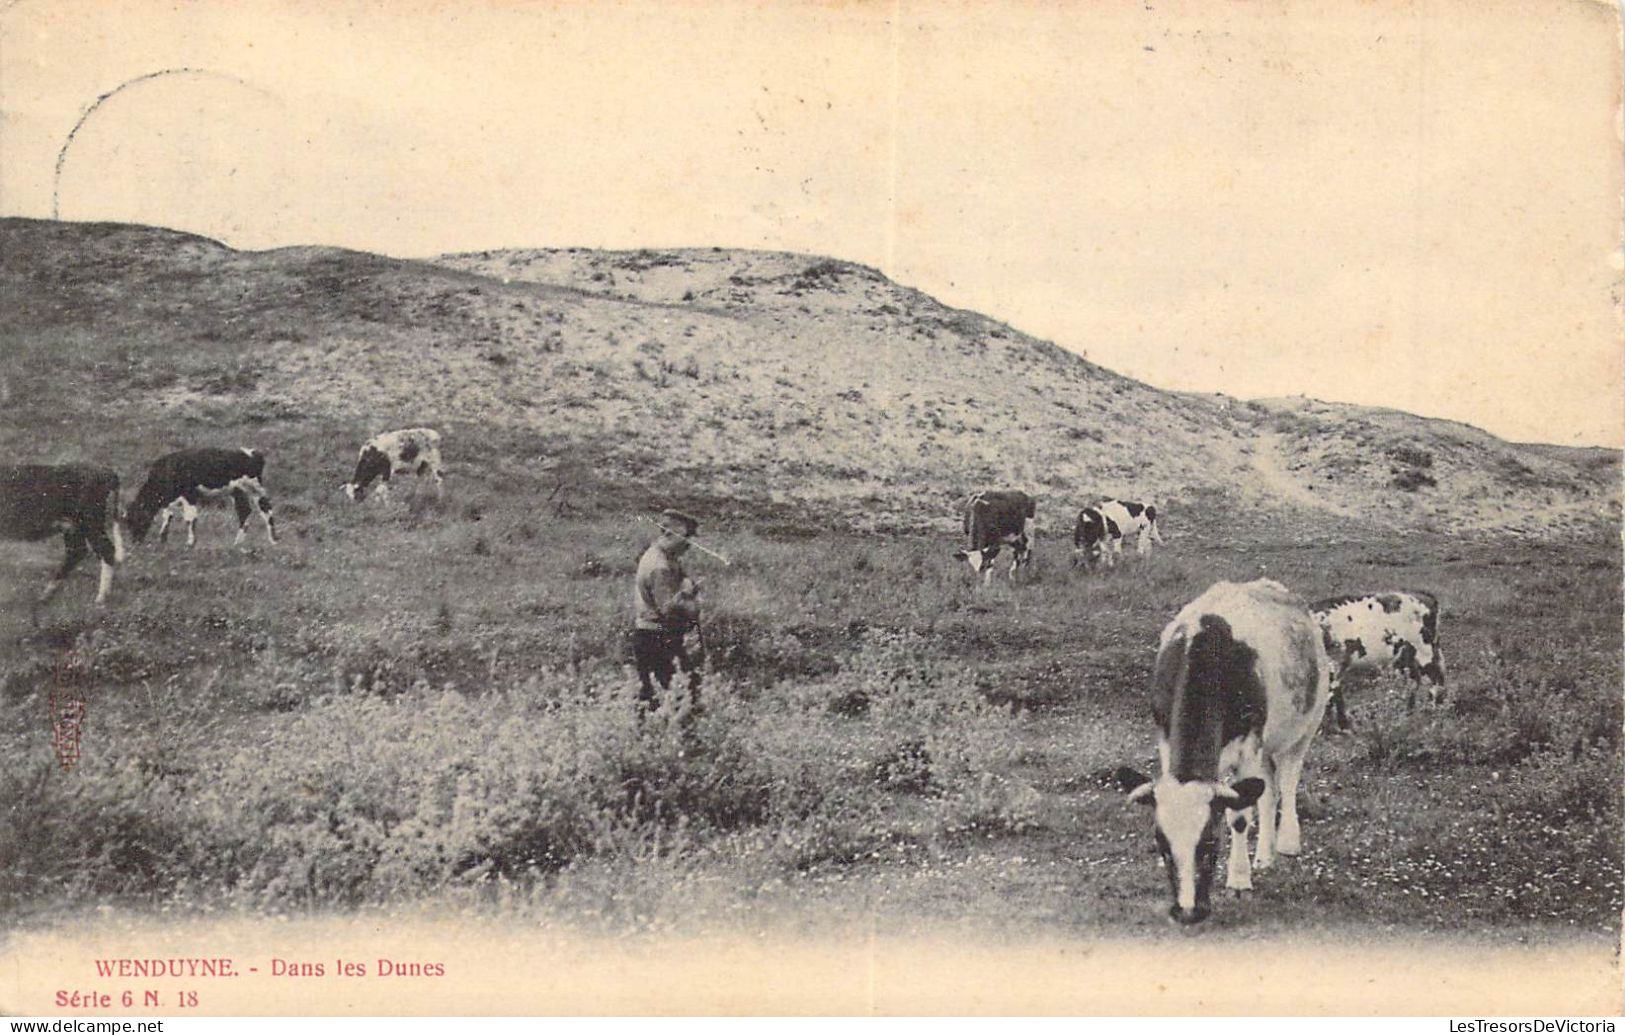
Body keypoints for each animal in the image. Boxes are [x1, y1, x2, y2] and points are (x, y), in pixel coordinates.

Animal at [0, 464, 125, 610]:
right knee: (77, 552)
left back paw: (100, 598)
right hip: (72, 527)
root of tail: (103, 470)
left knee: (106, 550)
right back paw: (46, 595)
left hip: (90, 521)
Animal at [123, 451, 279, 549]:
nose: (135, 542)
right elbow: (168, 515)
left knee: (266, 510)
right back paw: (238, 543)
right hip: (238, 492)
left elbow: (190, 518)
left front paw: (190, 543)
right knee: (245, 512)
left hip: (255, 488)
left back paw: (273, 540)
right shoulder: (170, 499)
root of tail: (253, 453)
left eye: (137, 519)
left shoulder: (189, 494)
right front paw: (163, 539)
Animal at [1118, 578, 1332, 922]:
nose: (1187, 911)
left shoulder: (1249, 746)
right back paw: (1264, 856)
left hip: (1305, 726)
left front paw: (1239, 881)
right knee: (1268, 792)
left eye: (1210, 842)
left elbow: (1240, 816)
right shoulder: (1166, 740)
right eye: (1162, 845)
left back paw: (1287, 843)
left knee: (1287, 782)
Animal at [1306, 594, 1449, 731]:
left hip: (1426, 651)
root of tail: (1427, 598)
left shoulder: (1334, 664)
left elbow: (1331, 696)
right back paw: (1409, 715)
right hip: (1407, 656)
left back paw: (1434, 714)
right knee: (1416, 681)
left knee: (1436, 680)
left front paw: (1338, 728)